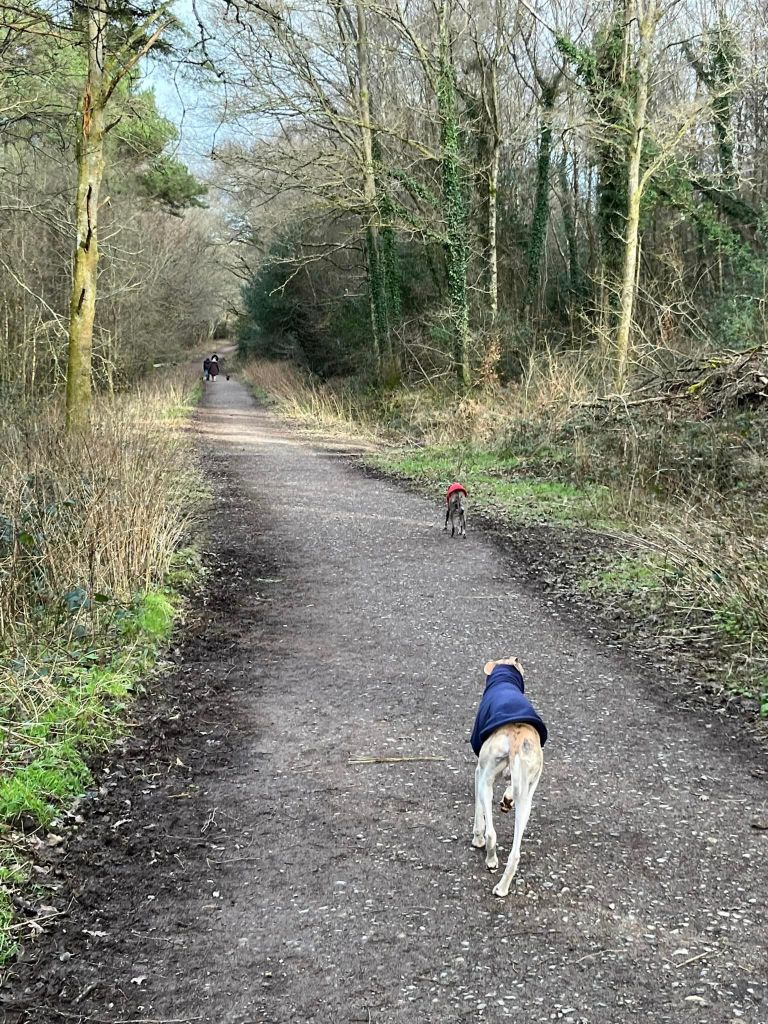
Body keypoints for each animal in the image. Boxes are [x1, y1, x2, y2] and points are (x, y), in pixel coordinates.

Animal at [470, 657, 547, 897]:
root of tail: (515, 739)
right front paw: (507, 799)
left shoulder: (479, 772)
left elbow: (479, 817)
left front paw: (476, 839)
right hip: (527, 799)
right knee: (515, 853)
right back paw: (502, 888)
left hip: (486, 781)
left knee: (491, 833)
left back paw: (490, 860)